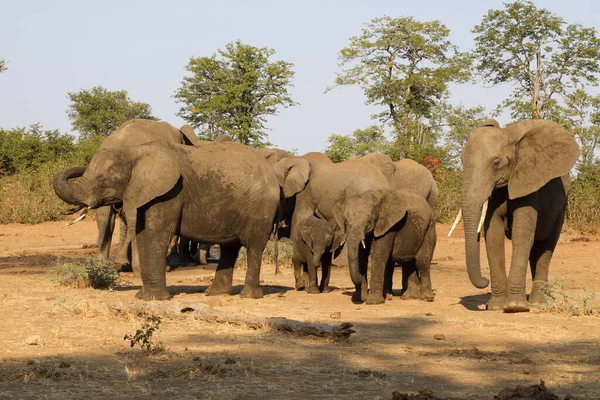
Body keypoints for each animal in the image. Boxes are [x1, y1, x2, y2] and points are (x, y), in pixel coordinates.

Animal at [458, 119, 580, 312]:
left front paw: (515, 306)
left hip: (560, 209)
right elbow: (493, 237)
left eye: (496, 163)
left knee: (546, 247)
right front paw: (496, 306)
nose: (484, 281)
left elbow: (521, 236)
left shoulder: (529, 184)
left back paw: (538, 303)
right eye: (462, 161)